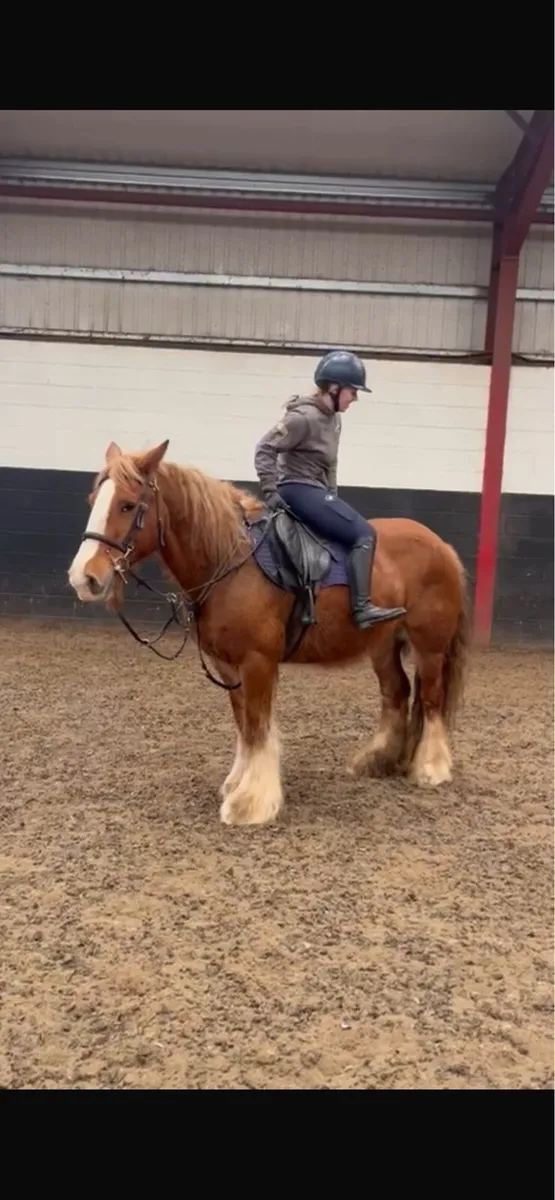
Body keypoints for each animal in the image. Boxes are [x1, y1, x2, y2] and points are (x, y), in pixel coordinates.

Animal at [67, 439, 470, 827]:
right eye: (92, 501)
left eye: (127, 505)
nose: (83, 578)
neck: (231, 561)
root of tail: (443, 547)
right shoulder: (229, 666)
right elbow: (245, 725)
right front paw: (237, 783)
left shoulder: (258, 662)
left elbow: (259, 726)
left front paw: (252, 801)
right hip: (383, 645)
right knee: (396, 693)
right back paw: (379, 760)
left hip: (429, 647)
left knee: (431, 699)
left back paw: (431, 767)